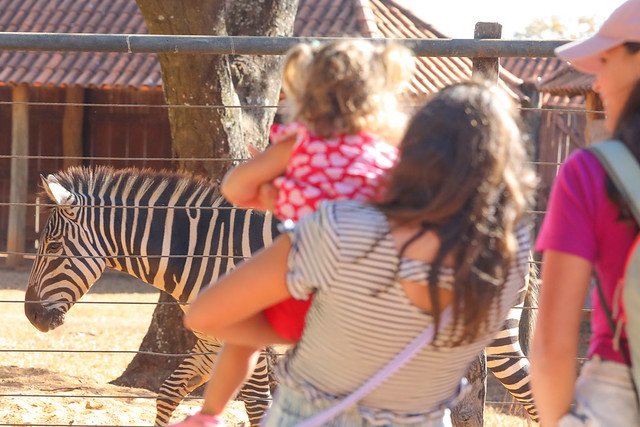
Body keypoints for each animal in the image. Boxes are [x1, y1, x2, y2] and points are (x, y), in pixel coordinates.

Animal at [22, 166, 536, 424]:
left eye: (52, 248)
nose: (30, 318)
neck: (207, 252)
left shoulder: (249, 339)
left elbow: (255, 407)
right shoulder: (212, 342)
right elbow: (169, 394)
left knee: (528, 390)